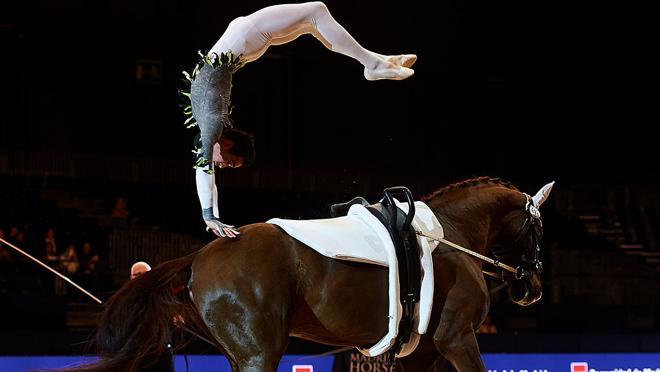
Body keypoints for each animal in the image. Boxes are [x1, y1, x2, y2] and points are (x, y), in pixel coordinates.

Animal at [56, 177, 556, 372]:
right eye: (537, 229)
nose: (532, 289)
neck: (449, 234)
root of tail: (202, 254)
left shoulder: (425, 352)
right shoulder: (458, 339)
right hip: (261, 354)